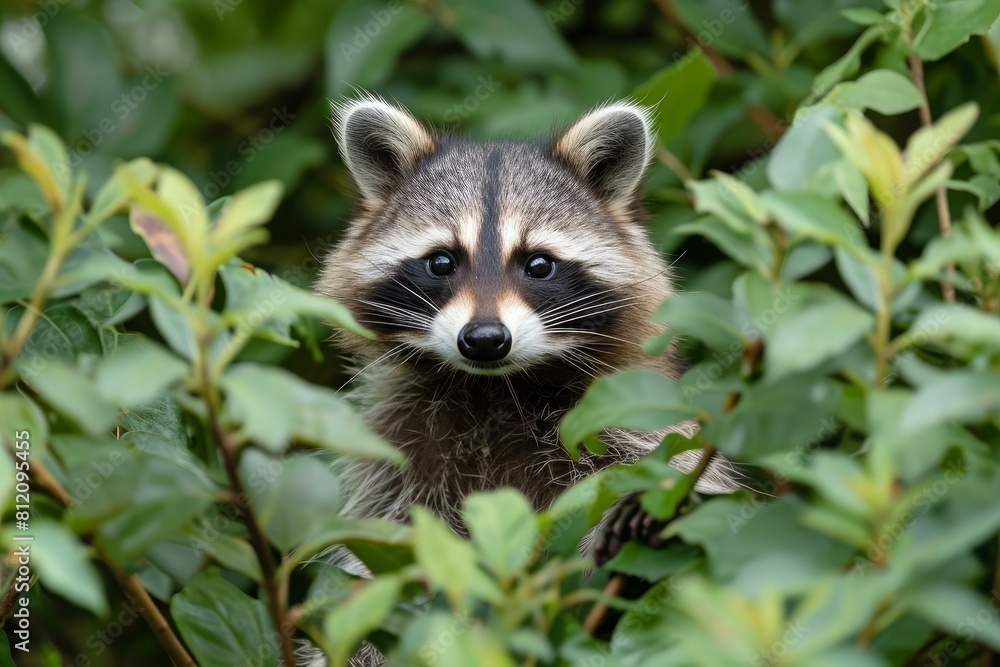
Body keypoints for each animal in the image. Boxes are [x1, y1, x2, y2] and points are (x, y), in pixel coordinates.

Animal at [309, 95, 741, 666]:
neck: (498, 388)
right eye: (441, 261)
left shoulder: (631, 418)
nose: (485, 339)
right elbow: (383, 554)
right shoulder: (399, 445)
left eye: (538, 264)